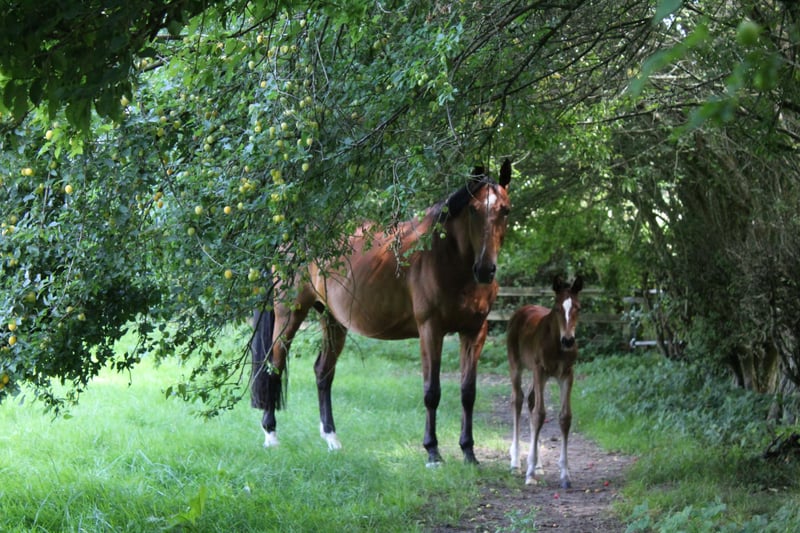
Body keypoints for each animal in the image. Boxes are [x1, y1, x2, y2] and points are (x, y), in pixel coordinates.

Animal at [250, 159, 512, 465]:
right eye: (473, 210)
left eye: (505, 210)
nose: (485, 269)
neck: (445, 257)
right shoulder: (431, 330)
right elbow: (432, 392)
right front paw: (433, 452)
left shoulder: (474, 332)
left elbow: (468, 393)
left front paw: (469, 452)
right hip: (290, 315)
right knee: (274, 367)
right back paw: (271, 435)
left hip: (332, 320)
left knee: (323, 372)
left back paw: (332, 439)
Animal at [507, 275, 583, 487]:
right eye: (557, 308)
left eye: (578, 307)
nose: (568, 340)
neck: (556, 343)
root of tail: (522, 309)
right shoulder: (540, 371)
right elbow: (540, 414)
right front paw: (529, 474)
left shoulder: (567, 374)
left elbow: (565, 417)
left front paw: (565, 475)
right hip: (517, 366)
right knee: (518, 400)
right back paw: (516, 463)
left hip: (537, 375)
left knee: (531, 401)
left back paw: (538, 464)